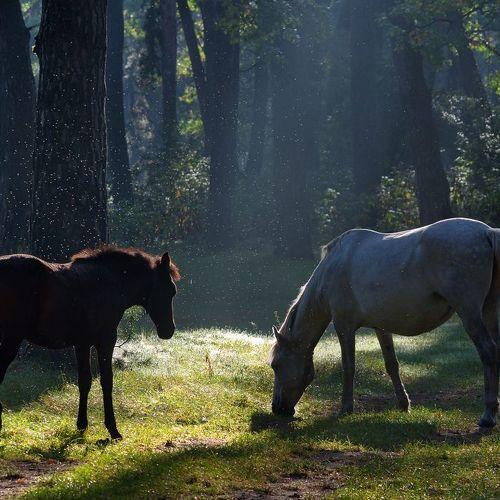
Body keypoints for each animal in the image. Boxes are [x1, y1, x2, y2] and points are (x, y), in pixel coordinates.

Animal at [0, 245, 180, 439]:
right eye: (170, 289)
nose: (168, 330)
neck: (112, 280)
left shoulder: (82, 344)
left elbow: (84, 381)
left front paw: (82, 424)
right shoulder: (106, 340)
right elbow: (106, 381)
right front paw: (112, 428)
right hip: (11, 339)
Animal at [270, 218, 499, 428]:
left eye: (276, 365)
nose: (277, 409)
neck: (330, 270)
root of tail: (486, 232)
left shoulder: (344, 327)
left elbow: (348, 367)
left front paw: (346, 408)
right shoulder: (381, 327)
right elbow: (392, 364)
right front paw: (403, 404)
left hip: (470, 314)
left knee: (488, 352)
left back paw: (488, 416)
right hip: (489, 312)